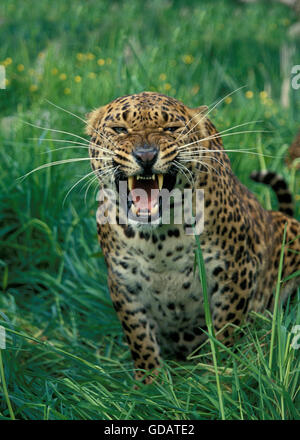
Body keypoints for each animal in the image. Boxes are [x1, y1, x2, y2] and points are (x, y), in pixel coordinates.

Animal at [86, 91, 300, 384]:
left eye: (171, 129)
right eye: (119, 129)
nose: (145, 155)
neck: (158, 241)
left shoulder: (236, 271)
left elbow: (225, 329)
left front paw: (217, 372)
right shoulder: (123, 281)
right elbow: (139, 336)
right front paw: (150, 381)